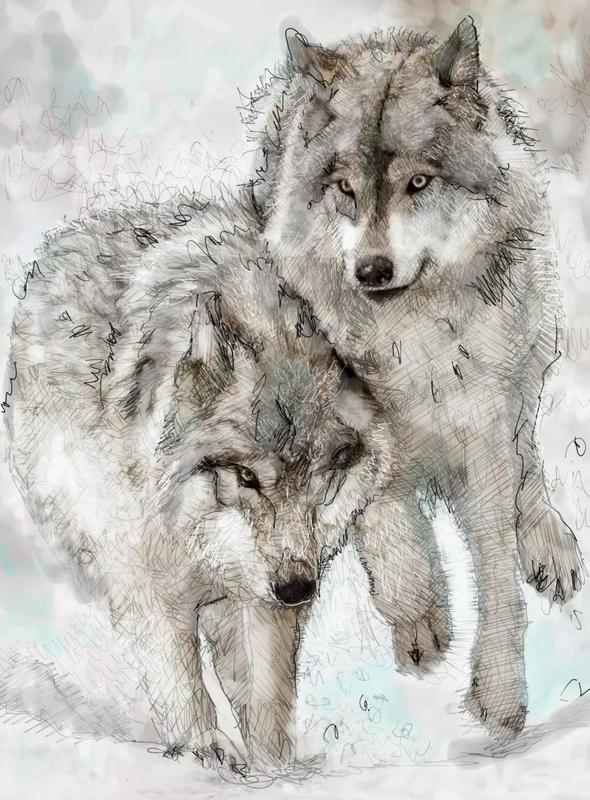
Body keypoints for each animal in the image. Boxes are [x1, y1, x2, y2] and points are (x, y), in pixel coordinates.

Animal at [4, 192, 450, 769]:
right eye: (246, 476)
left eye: (324, 469)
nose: (296, 588)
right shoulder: (153, 589)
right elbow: (180, 679)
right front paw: (203, 752)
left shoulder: (262, 598)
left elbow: (265, 694)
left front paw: (272, 769)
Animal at [241, 18, 586, 739]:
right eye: (345, 188)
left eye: (420, 183)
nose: (371, 270)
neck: (411, 340)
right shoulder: (347, 422)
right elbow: (389, 526)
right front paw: (420, 615)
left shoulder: (481, 419)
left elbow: (495, 562)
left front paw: (501, 695)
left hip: (531, 353)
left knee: (528, 456)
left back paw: (549, 544)